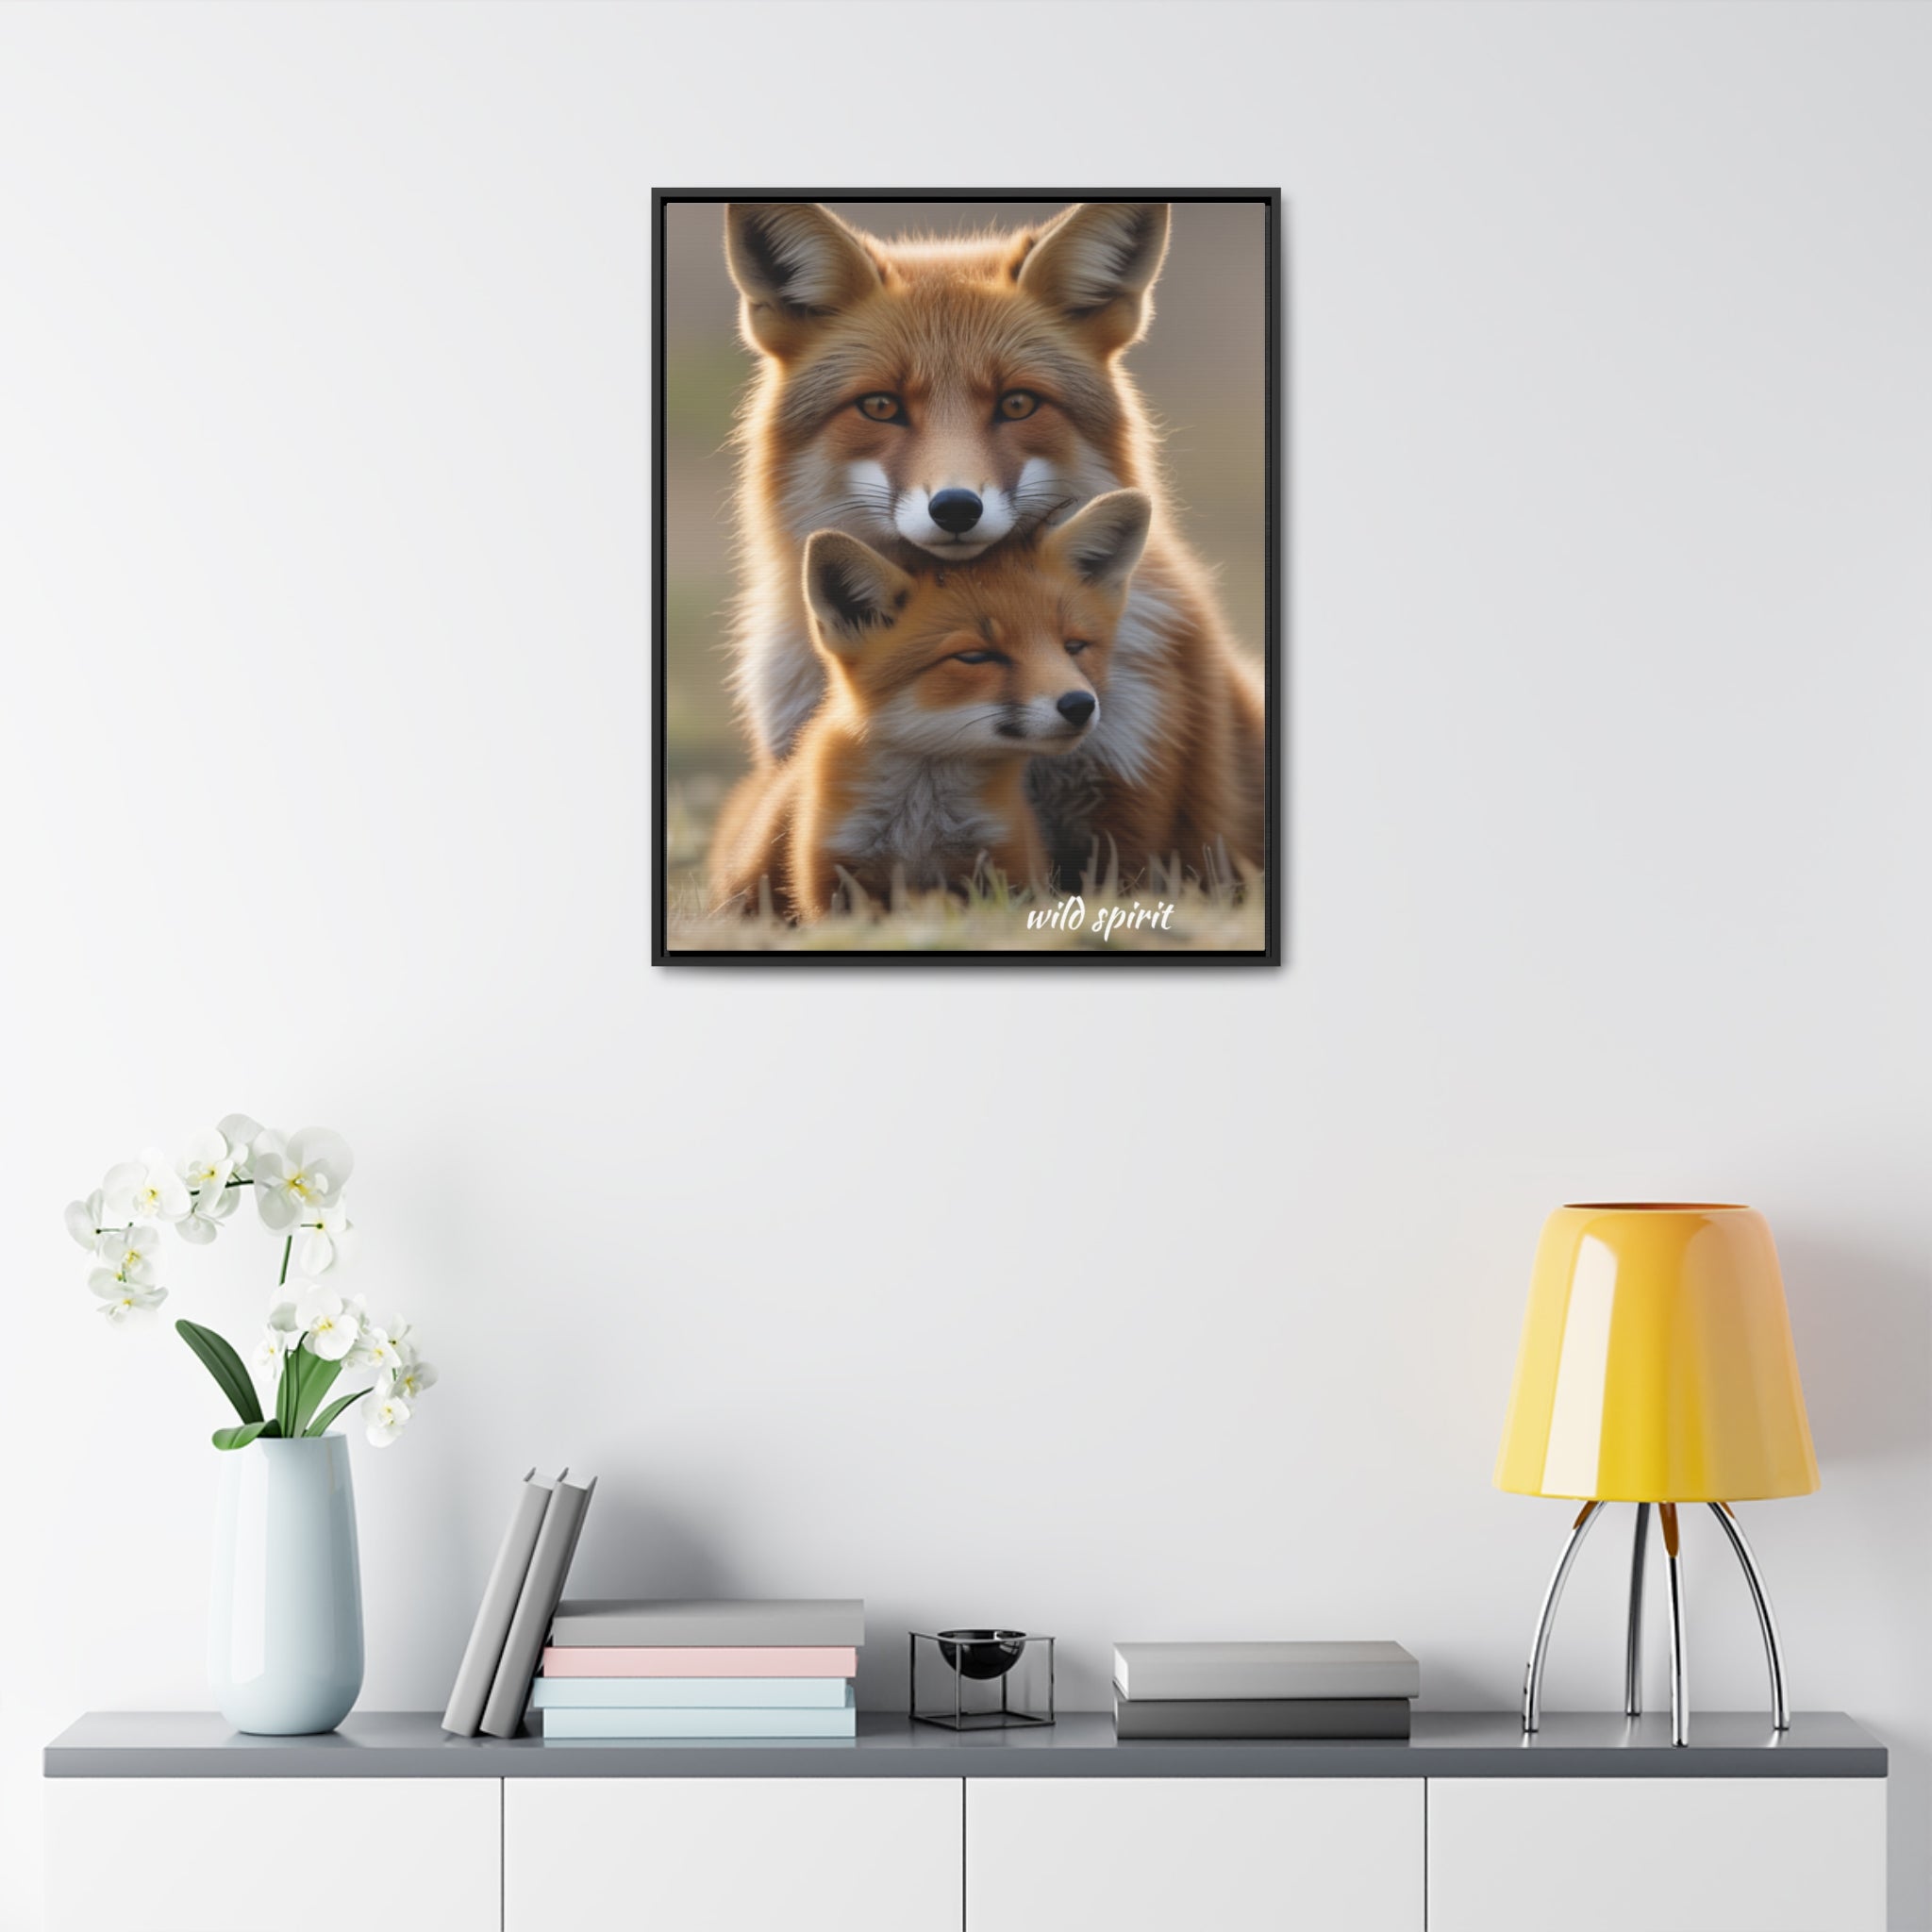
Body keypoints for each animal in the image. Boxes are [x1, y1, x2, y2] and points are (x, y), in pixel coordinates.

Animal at [709, 491, 1153, 922]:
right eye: (975, 657)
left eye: (1074, 647)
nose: (1080, 705)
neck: (920, 825)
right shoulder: (833, 877)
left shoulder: (1006, 865)